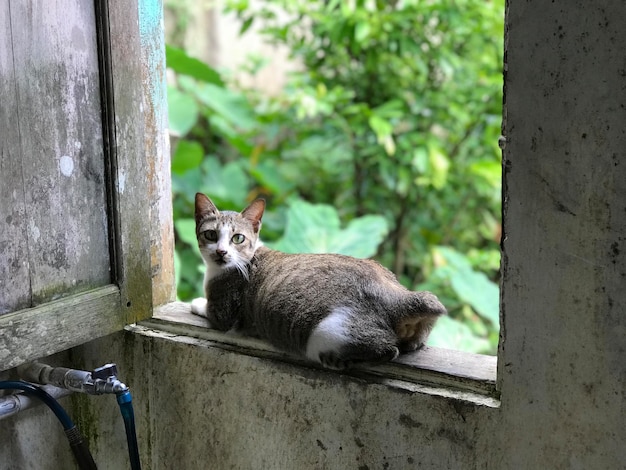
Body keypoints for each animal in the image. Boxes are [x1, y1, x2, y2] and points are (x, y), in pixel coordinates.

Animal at [189, 193, 444, 370]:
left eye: (237, 238)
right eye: (211, 234)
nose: (221, 252)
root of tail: (398, 295)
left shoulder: (224, 310)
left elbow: (210, 311)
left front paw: (197, 302)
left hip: (328, 331)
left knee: (388, 349)